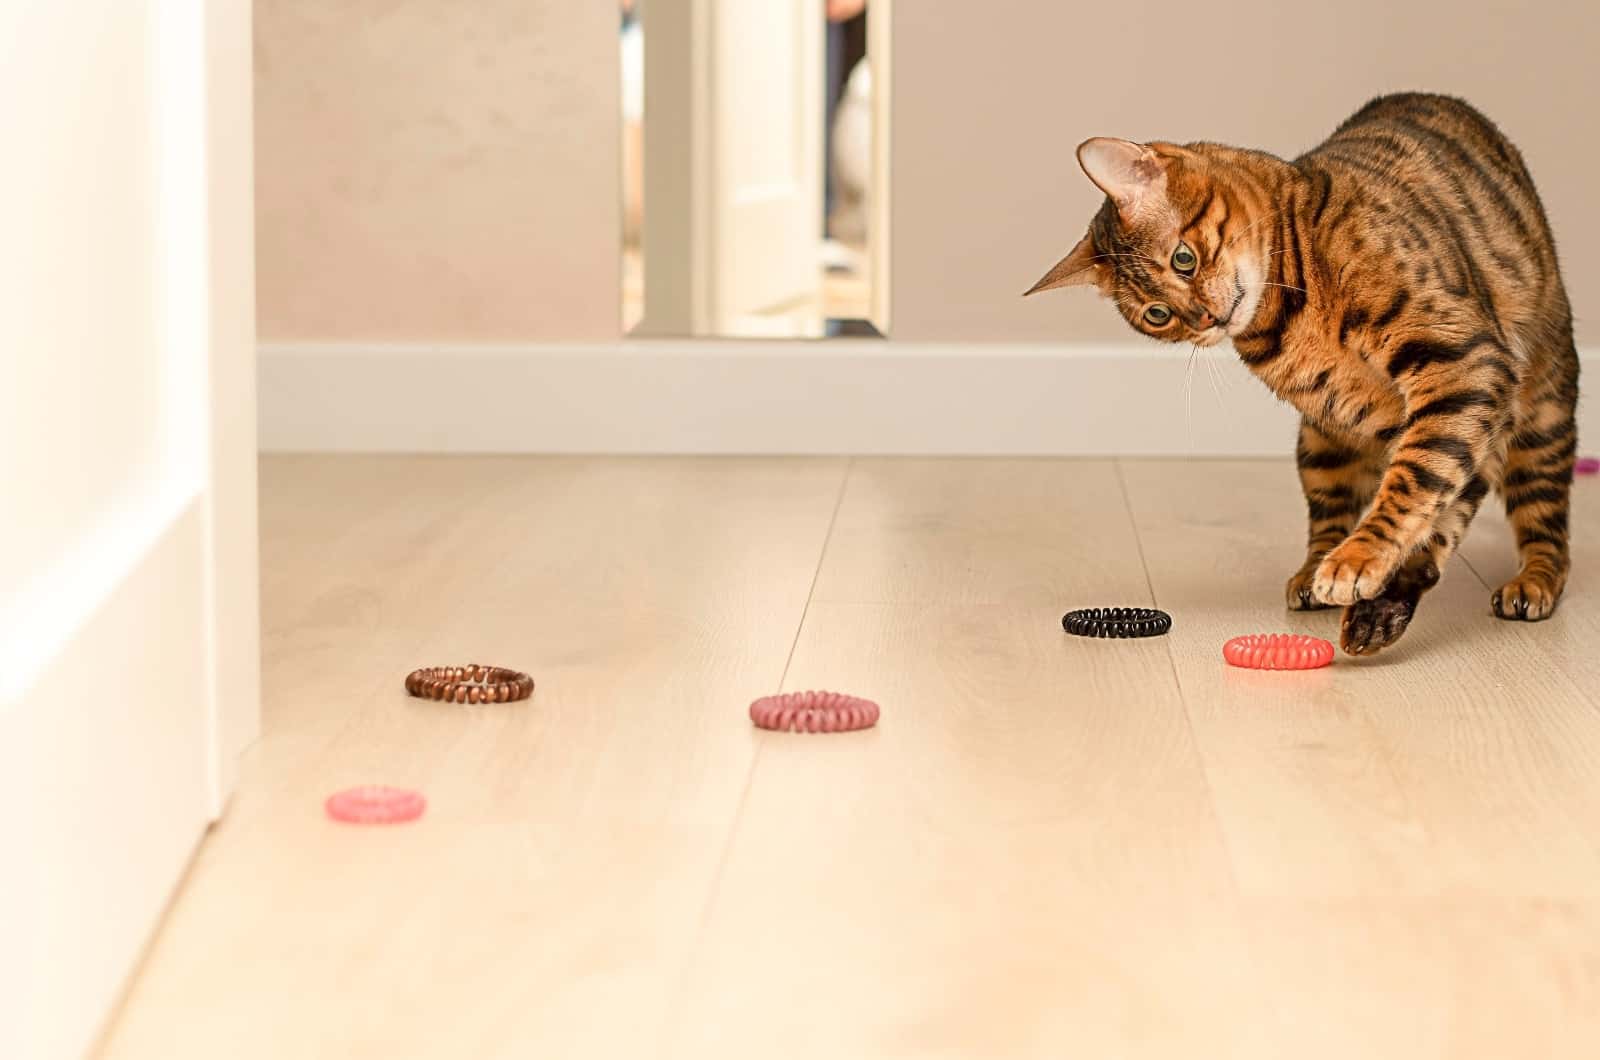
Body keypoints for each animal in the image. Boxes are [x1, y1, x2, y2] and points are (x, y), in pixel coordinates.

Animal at [1024, 93, 1574, 656]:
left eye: (1183, 259)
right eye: (1157, 315)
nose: (1205, 319)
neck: (1291, 313)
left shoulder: (1464, 364)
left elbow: (1416, 481)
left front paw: (1362, 562)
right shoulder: (1387, 411)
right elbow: (1431, 494)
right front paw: (1369, 585)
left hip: (1542, 421)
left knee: (1547, 527)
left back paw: (1531, 584)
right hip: (1320, 443)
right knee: (1333, 512)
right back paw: (1314, 572)